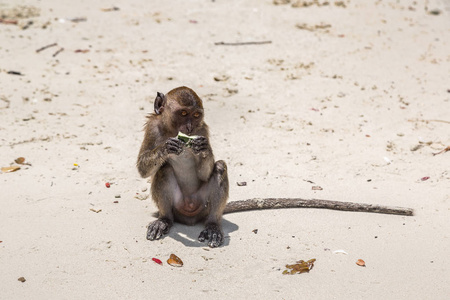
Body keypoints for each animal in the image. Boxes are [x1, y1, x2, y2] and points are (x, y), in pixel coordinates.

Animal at [138, 86, 414, 248]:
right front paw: (167, 148)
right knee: (163, 171)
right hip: (178, 207)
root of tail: (191, 215)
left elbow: (208, 168)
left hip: (204, 206)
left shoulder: (203, 130)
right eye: (183, 114)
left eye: (196, 116)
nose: (188, 128)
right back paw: (165, 220)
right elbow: (143, 168)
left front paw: (202, 149)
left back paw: (213, 226)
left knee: (219, 168)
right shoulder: (154, 128)